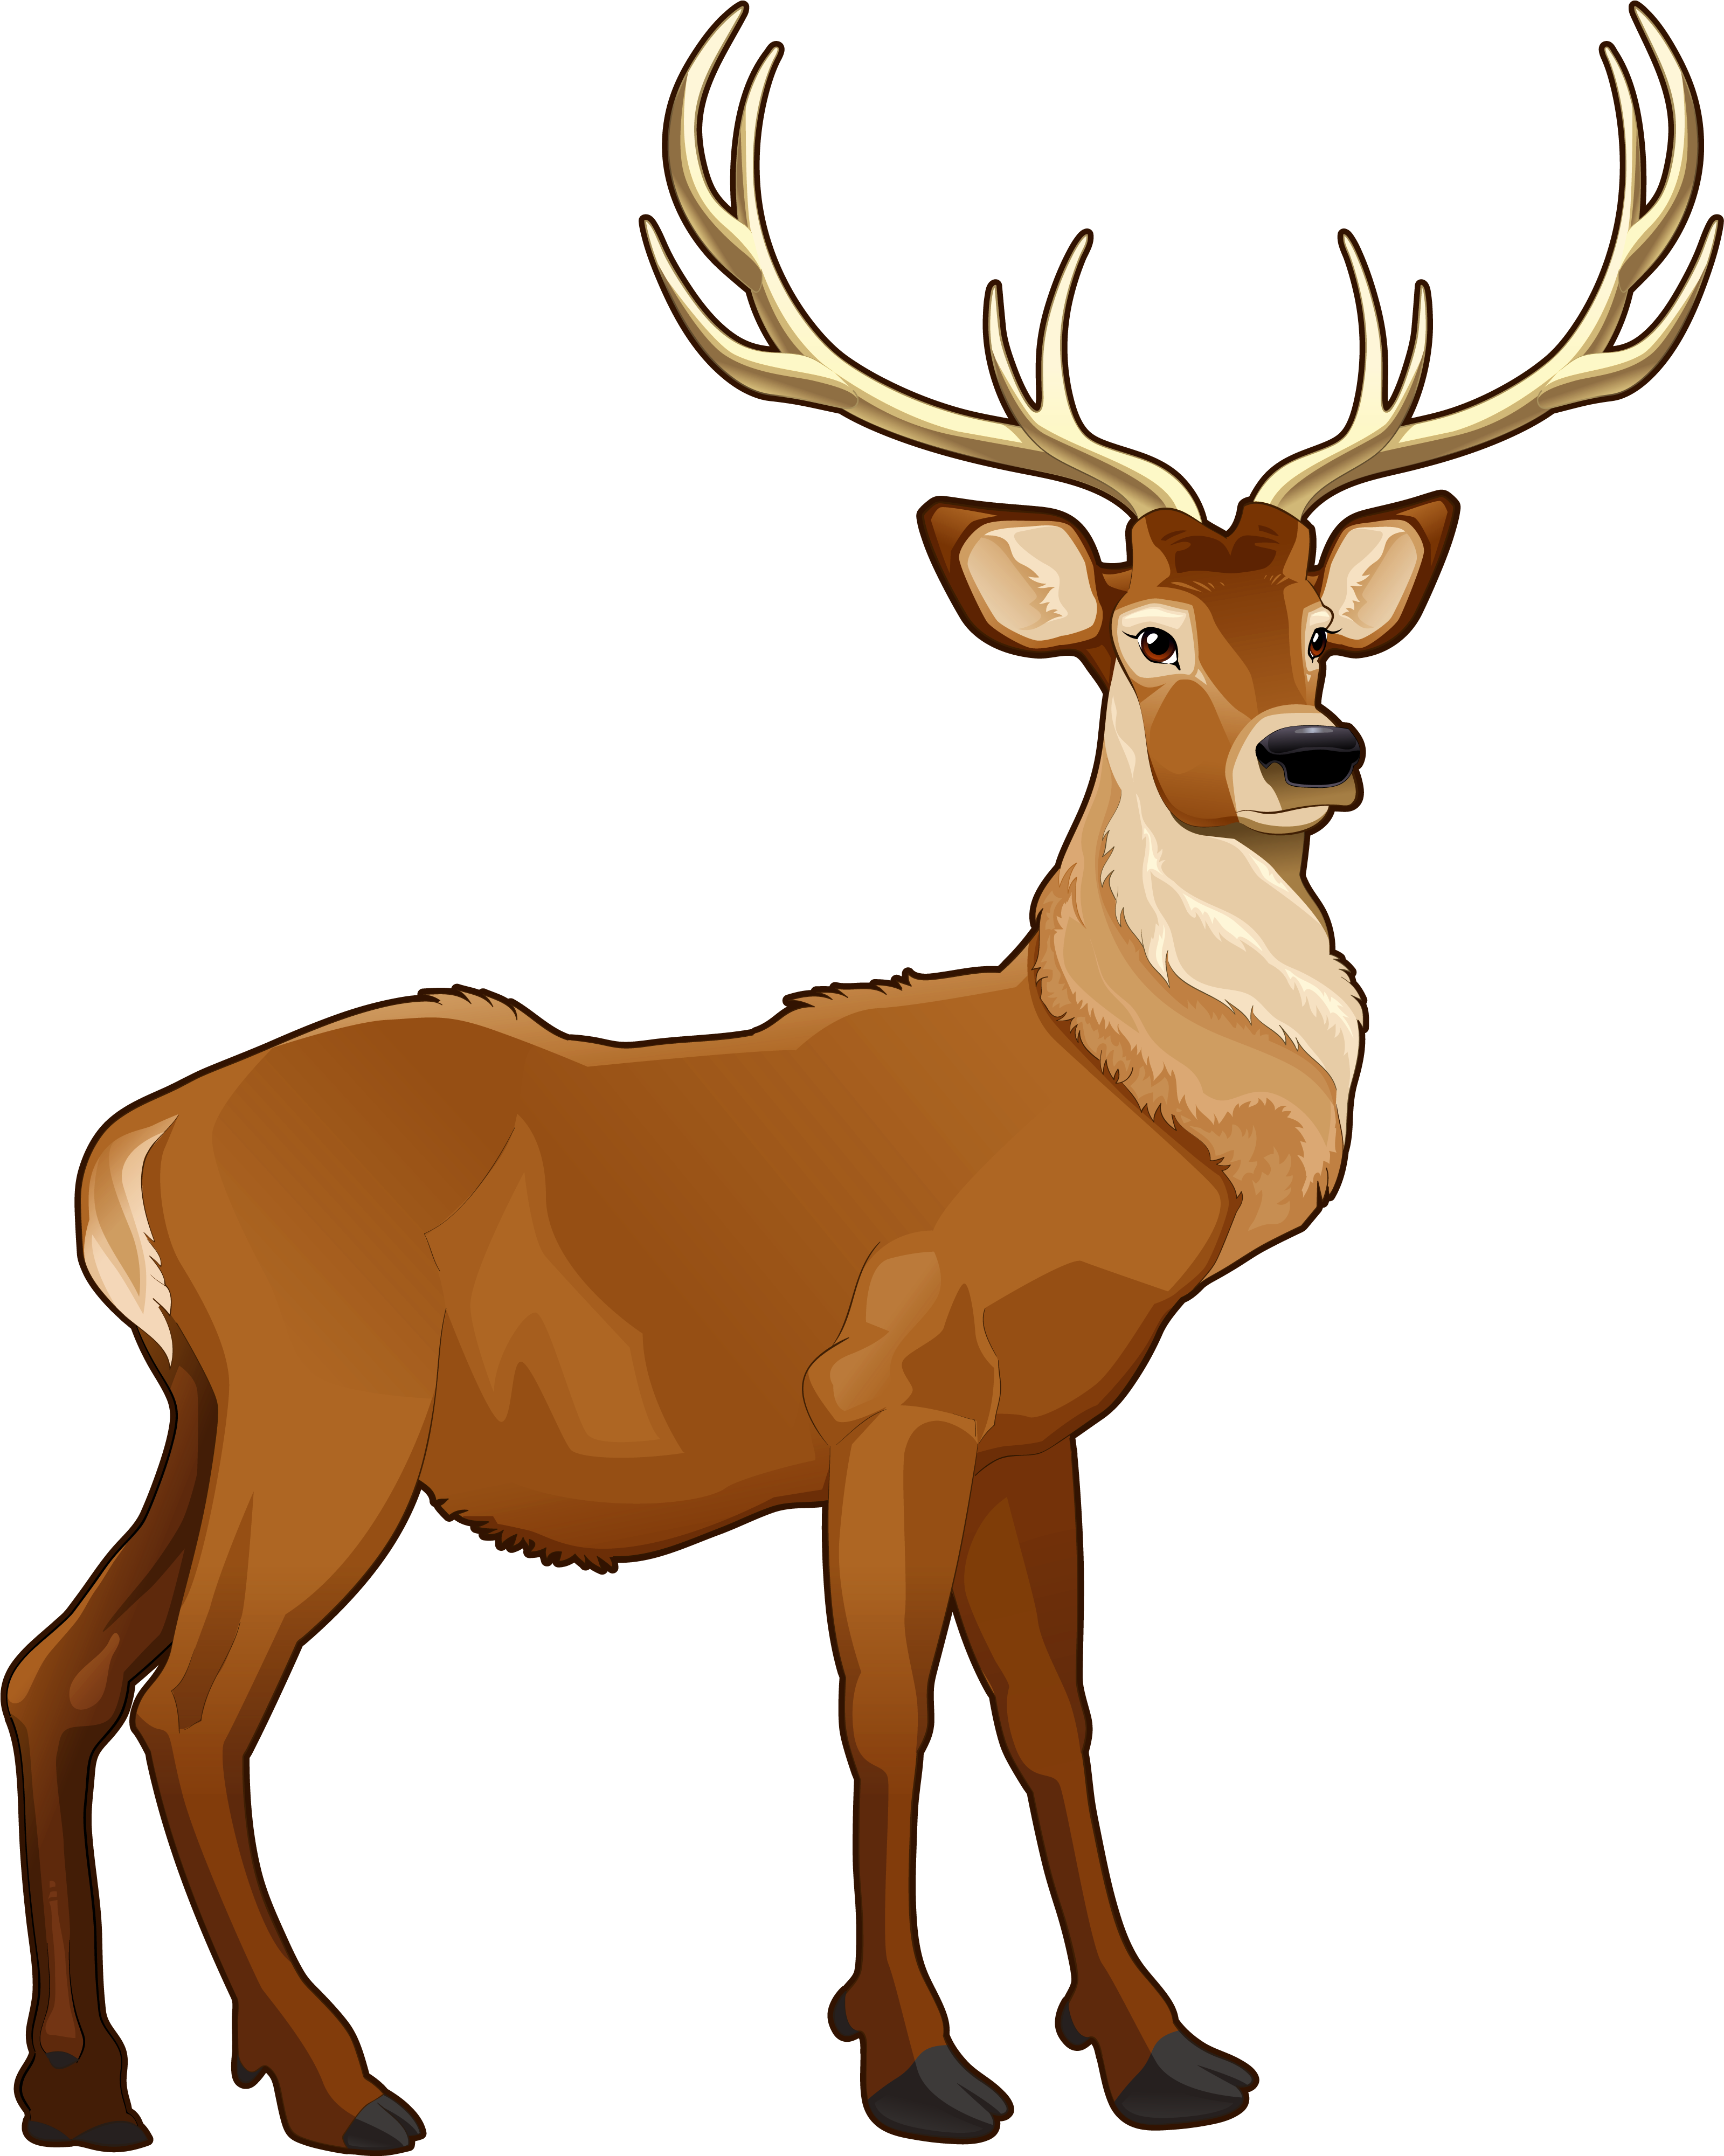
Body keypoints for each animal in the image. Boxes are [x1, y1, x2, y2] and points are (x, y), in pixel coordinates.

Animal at [8, 5, 1715, 2149]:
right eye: (1147, 636)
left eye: (1320, 621)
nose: (1309, 752)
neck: (1112, 1120)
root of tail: (136, 1146)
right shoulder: (889, 1380)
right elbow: (883, 1706)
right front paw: (915, 2059)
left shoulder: (1036, 1422)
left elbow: (1051, 1712)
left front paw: (1154, 2044)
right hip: (332, 1397)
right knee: (194, 1698)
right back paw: (335, 2079)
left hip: (203, 1401)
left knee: (59, 1670)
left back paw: (86, 2079)